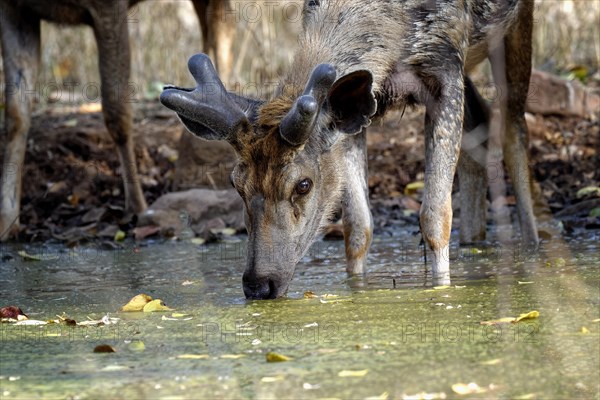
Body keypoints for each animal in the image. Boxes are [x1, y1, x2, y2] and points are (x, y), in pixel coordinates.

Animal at [1, 0, 236, 241]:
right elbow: (16, 114)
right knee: (213, 26)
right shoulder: (15, 9)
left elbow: (116, 115)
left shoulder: (109, 6)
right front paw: (7, 223)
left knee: (223, 26)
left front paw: (138, 207)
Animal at [162, 0, 540, 298]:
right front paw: (356, 290)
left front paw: (441, 290)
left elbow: (435, 216)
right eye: (235, 183)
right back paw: (476, 241)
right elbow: (359, 228)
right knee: (480, 125)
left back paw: (532, 244)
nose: (259, 285)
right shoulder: (355, 116)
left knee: (514, 125)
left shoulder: (446, 65)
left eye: (303, 184)